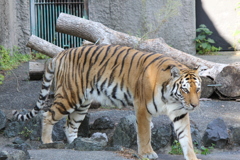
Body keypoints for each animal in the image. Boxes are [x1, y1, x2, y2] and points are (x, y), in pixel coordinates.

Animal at [12, 44, 201, 160]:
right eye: (185, 90)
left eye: (197, 89)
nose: (194, 105)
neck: (171, 97)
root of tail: (61, 53)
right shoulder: (142, 109)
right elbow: (145, 134)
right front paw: (147, 154)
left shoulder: (180, 113)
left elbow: (186, 138)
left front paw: (192, 157)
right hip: (68, 97)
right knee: (47, 116)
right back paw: (47, 142)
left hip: (82, 103)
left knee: (70, 125)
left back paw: (77, 144)